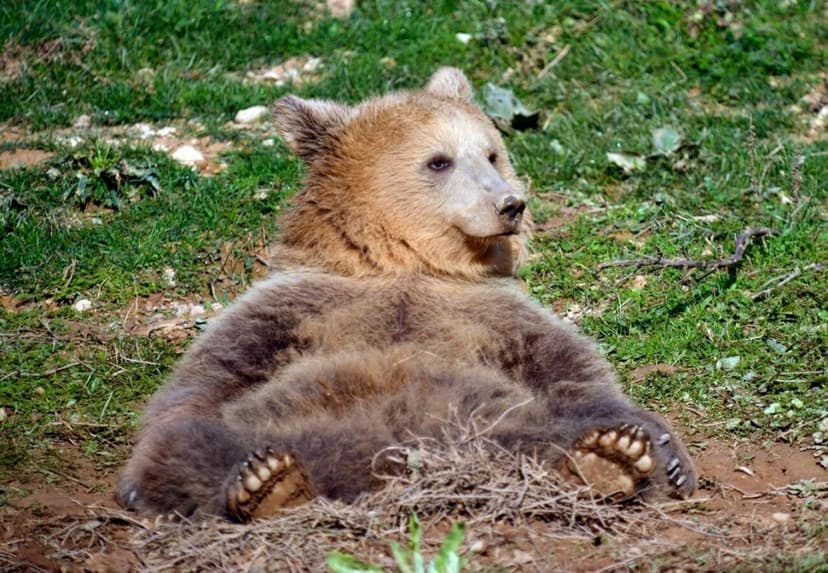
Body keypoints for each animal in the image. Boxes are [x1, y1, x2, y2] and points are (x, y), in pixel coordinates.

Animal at [117, 68, 696, 521]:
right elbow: (210, 379)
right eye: (439, 161)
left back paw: (610, 458)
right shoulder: (295, 304)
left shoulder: (496, 312)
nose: (511, 204)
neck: (407, 263)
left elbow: (574, 373)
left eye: (491, 153)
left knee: (554, 427)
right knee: (195, 445)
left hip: (496, 420)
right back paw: (268, 483)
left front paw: (663, 456)